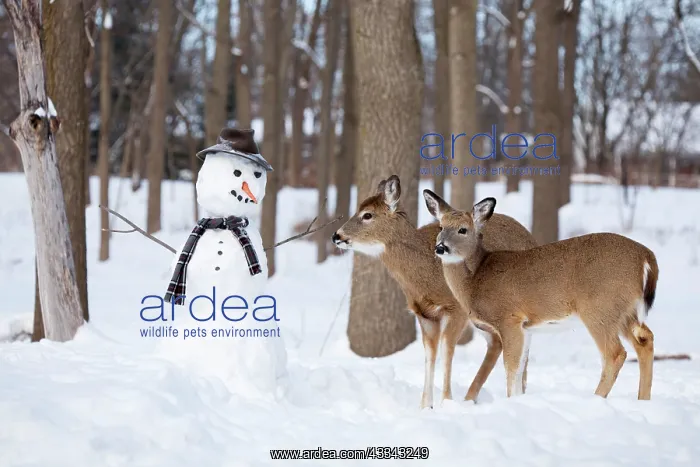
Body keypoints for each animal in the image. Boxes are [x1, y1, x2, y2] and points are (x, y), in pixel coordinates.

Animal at [331, 175, 537, 409]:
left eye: (367, 215)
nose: (336, 235)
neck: (425, 278)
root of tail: (531, 236)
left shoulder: (456, 309)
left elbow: (447, 350)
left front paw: (445, 401)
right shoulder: (425, 314)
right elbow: (429, 355)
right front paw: (425, 406)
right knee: (497, 343)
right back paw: (471, 397)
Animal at [422, 189, 659, 401]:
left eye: (463, 229)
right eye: (441, 227)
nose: (440, 247)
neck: (476, 280)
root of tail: (647, 256)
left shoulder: (509, 318)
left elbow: (511, 368)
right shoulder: (526, 327)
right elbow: (520, 372)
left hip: (600, 308)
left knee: (615, 354)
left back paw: (597, 398)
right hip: (625, 310)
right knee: (645, 339)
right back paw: (643, 399)